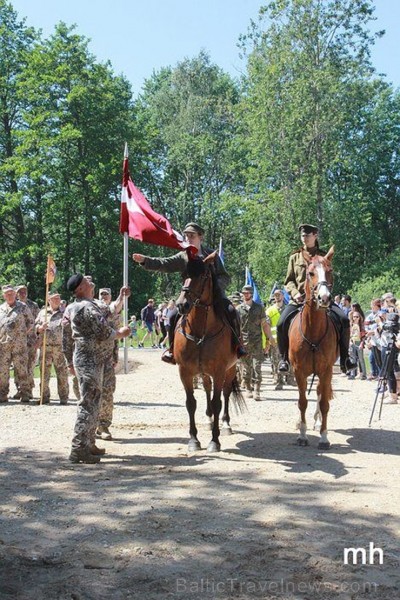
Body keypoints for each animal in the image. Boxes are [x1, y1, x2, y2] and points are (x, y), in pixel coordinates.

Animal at [176, 251, 247, 452]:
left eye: (202, 276)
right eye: (183, 275)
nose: (182, 305)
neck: (200, 331)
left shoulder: (219, 371)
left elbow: (217, 403)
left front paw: (215, 441)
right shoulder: (185, 371)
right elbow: (190, 403)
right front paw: (193, 440)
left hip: (230, 370)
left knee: (226, 393)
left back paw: (226, 424)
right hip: (203, 372)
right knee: (207, 388)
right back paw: (208, 420)